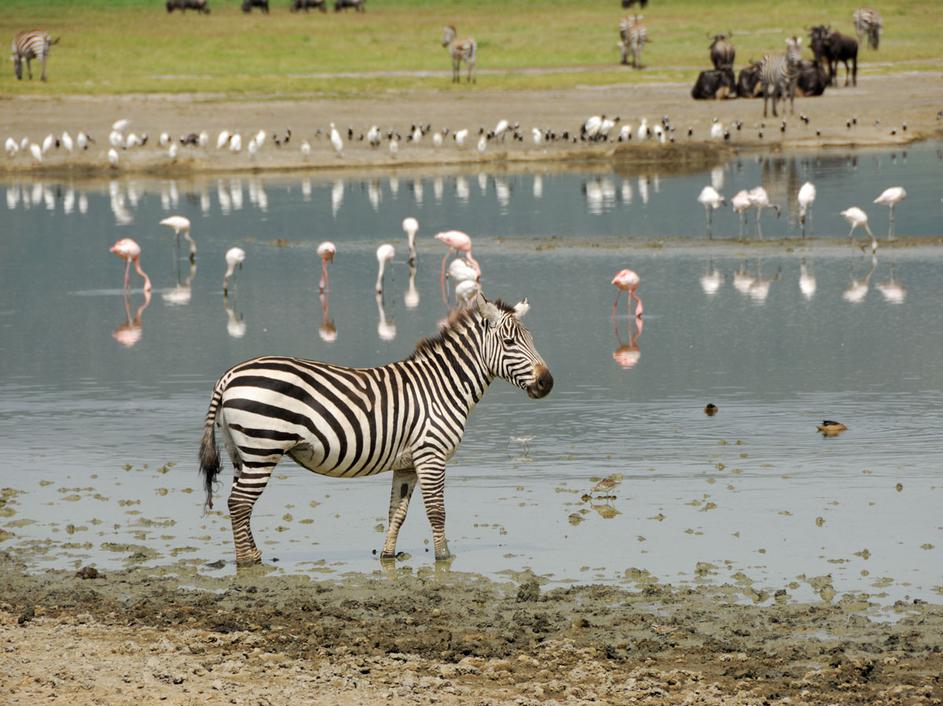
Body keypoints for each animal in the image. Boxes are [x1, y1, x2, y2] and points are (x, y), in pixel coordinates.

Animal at [198, 294, 553, 565]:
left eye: (533, 340)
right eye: (509, 342)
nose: (547, 383)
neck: (442, 386)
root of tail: (229, 375)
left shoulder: (407, 463)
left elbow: (397, 512)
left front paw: (388, 555)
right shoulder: (432, 455)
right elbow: (437, 511)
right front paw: (444, 558)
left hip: (243, 452)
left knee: (239, 503)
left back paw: (254, 555)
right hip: (263, 449)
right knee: (239, 503)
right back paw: (248, 562)